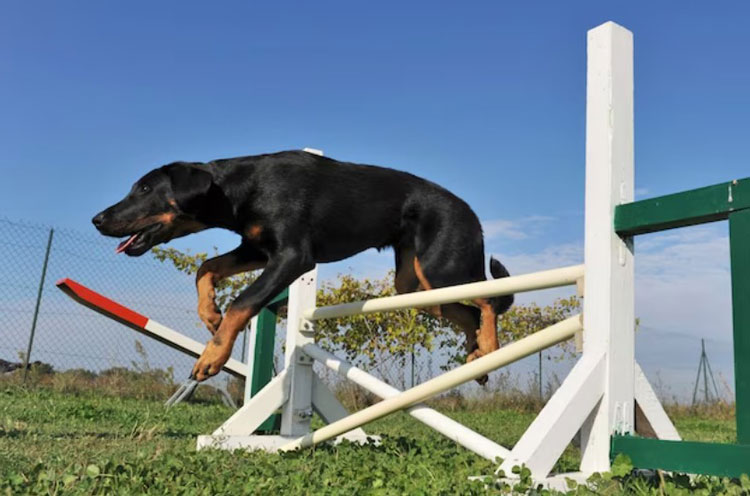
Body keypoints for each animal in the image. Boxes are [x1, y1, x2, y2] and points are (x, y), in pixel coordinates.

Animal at [92, 151, 516, 384]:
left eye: (145, 189)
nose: (97, 219)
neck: (238, 189)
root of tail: (473, 216)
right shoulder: (257, 250)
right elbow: (206, 268)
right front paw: (210, 316)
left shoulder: (292, 257)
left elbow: (243, 302)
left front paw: (212, 357)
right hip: (417, 287)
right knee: (468, 314)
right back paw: (477, 359)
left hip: (442, 268)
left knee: (489, 301)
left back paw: (490, 349)